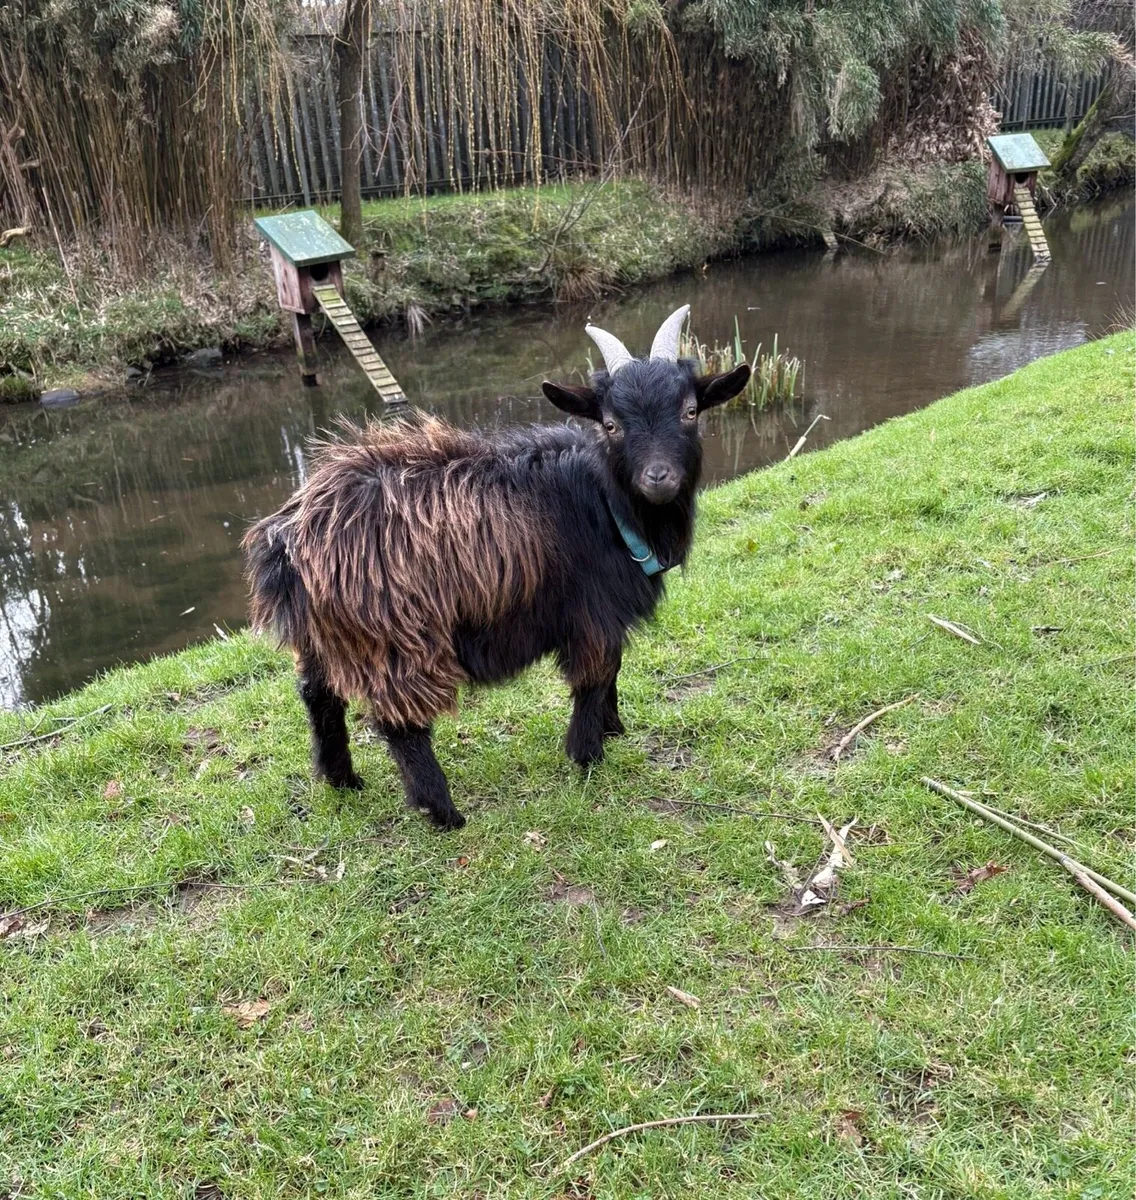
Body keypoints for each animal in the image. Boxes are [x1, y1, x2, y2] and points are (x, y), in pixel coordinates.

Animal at [242, 305, 750, 829]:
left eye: (690, 411)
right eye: (610, 424)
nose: (658, 478)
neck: (605, 505)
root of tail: (289, 535)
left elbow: (612, 673)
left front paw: (613, 729)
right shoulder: (591, 614)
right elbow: (596, 675)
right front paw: (587, 754)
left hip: (325, 637)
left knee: (318, 695)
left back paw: (342, 780)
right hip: (396, 640)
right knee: (401, 723)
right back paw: (442, 811)